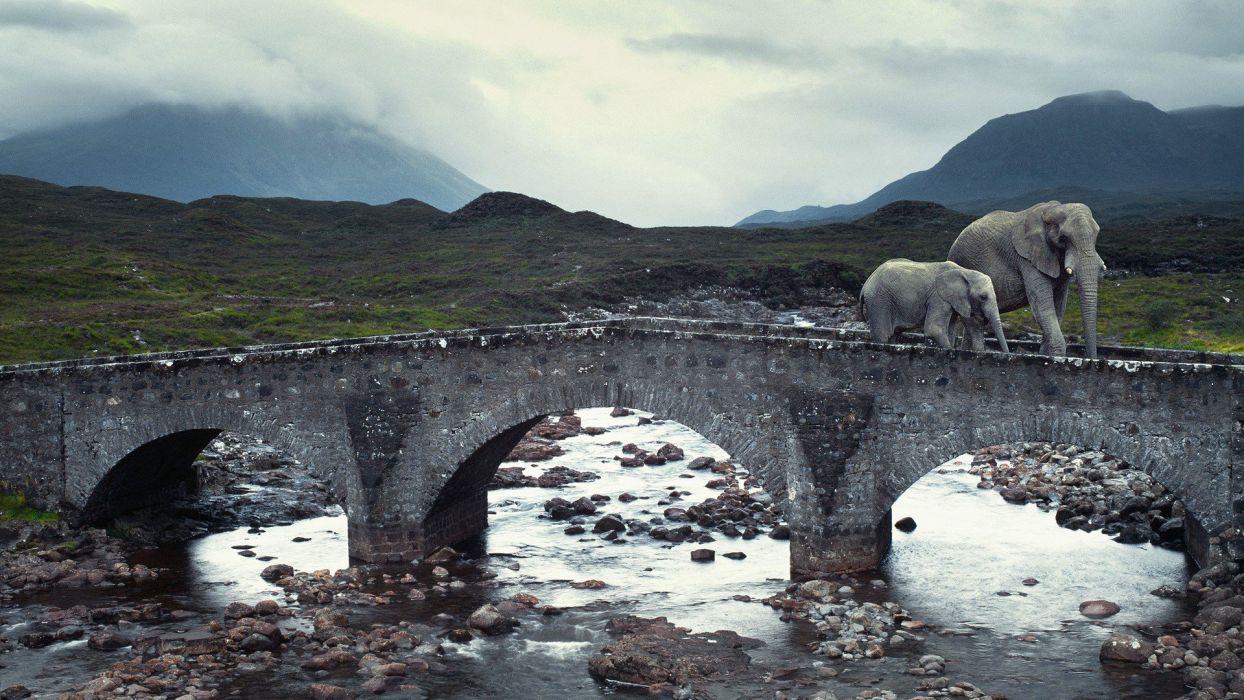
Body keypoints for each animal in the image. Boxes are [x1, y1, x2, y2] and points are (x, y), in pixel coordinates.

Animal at [865, 259, 1010, 353]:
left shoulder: (952, 300)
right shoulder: (938, 297)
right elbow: (934, 329)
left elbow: (950, 330)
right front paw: (950, 350)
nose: (1007, 355)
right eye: (983, 297)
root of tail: (868, 281)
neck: (965, 272)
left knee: (892, 335)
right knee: (883, 335)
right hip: (879, 301)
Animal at [950, 201, 1109, 355]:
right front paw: (1056, 356)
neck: (1051, 210)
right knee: (972, 322)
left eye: (1097, 235)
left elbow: (1059, 306)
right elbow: (1042, 306)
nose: (1092, 358)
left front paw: (1046, 354)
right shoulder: (1027, 259)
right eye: (1063, 238)